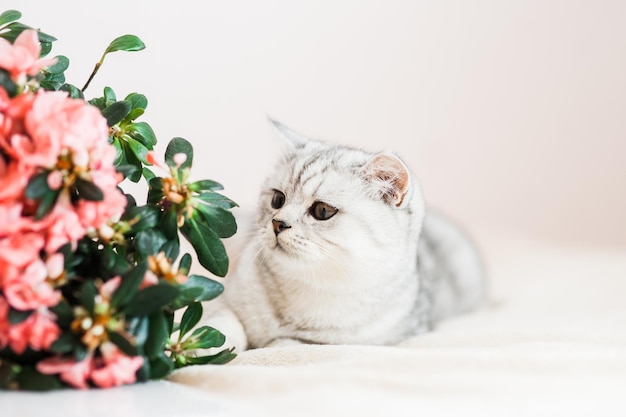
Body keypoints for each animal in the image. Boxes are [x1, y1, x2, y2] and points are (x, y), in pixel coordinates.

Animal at [202, 120, 486, 352]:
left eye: (322, 211)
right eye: (277, 200)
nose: (277, 223)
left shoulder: (357, 341)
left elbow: (285, 344)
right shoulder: (222, 296)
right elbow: (225, 324)